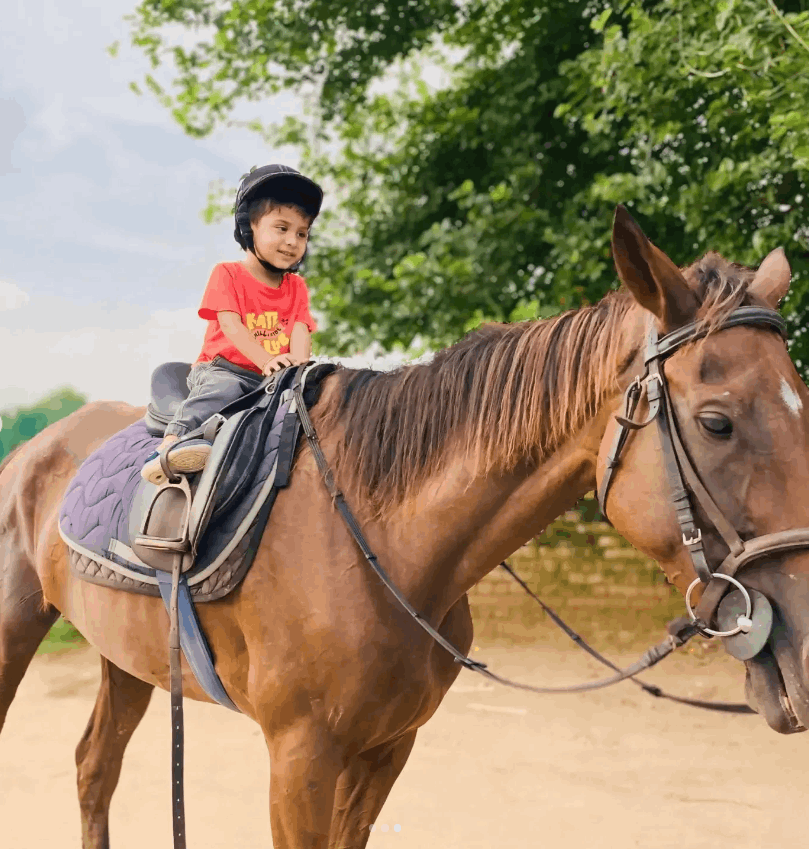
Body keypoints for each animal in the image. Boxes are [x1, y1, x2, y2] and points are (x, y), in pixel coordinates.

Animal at [1, 207, 808, 848]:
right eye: (716, 421)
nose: (802, 650)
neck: (378, 542)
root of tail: (36, 446)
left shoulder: (389, 747)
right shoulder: (300, 756)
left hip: (130, 656)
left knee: (95, 768)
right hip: (19, 628)